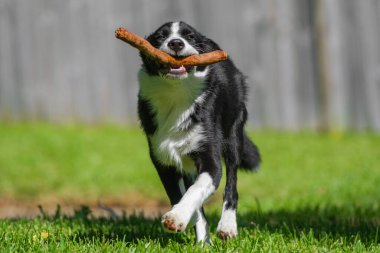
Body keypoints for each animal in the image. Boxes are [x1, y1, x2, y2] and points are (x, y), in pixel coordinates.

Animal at [137, 20, 262, 242]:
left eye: (190, 37)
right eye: (160, 37)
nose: (176, 43)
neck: (176, 94)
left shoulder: (210, 158)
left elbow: (196, 190)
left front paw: (177, 217)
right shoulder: (163, 161)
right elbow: (181, 196)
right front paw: (197, 234)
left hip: (233, 135)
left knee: (232, 185)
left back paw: (227, 226)